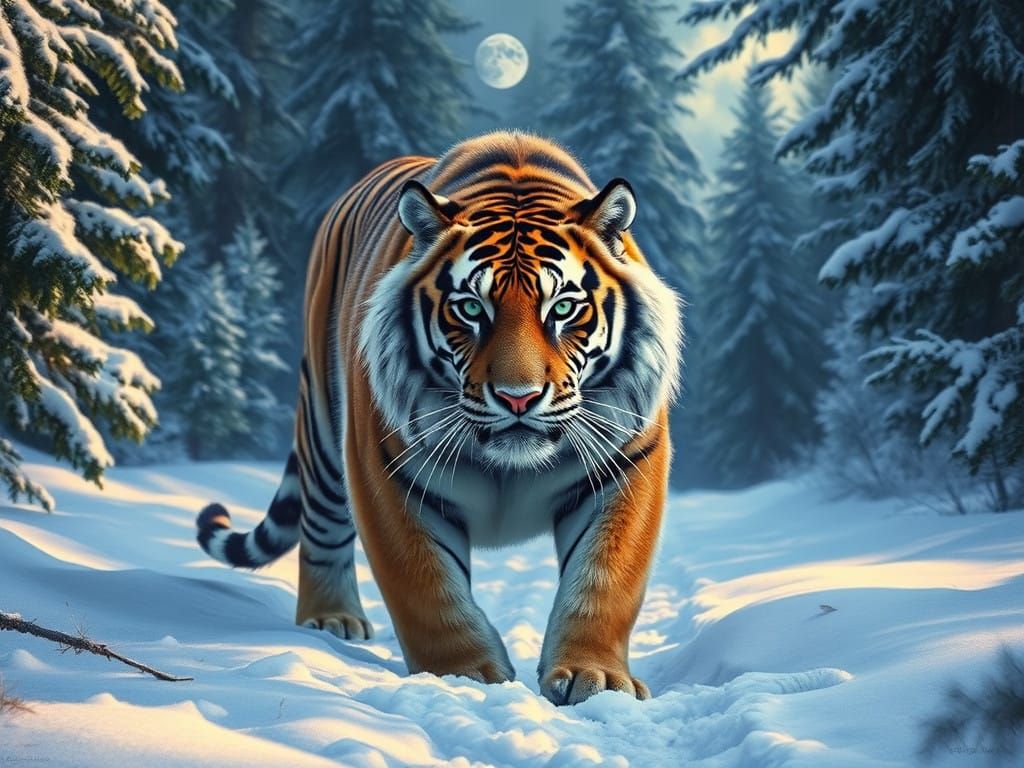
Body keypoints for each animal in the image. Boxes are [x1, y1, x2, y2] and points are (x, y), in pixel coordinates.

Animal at [196, 131, 682, 705]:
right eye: (471, 309)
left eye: (562, 308)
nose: (518, 398)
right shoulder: (382, 467)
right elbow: (425, 587)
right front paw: (464, 675)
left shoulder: (628, 462)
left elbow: (605, 578)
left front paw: (595, 677)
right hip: (322, 433)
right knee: (322, 531)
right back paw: (331, 620)